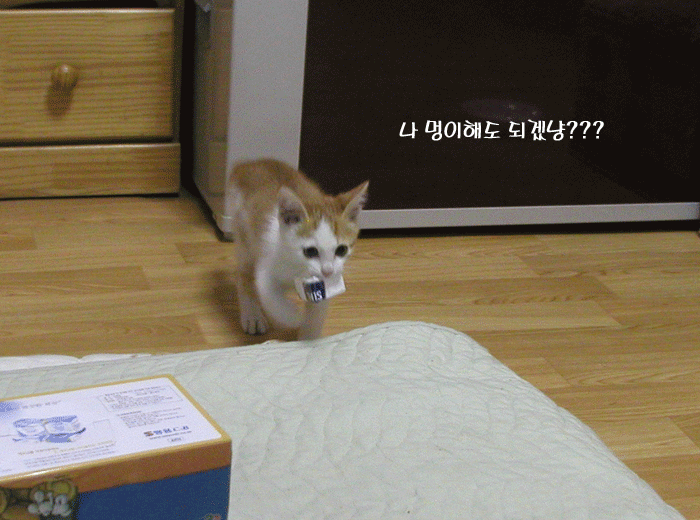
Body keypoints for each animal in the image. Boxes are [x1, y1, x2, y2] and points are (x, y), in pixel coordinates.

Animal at [227, 158, 369, 340]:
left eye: (341, 250)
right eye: (311, 251)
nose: (328, 271)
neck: (298, 268)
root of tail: (248, 164)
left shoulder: (322, 285)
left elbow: (316, 313)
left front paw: (308, 337)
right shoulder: (266, 268)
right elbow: (271, 297)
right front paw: (294, 316)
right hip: (245, 237)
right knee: (244, 274)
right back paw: (252, 316)